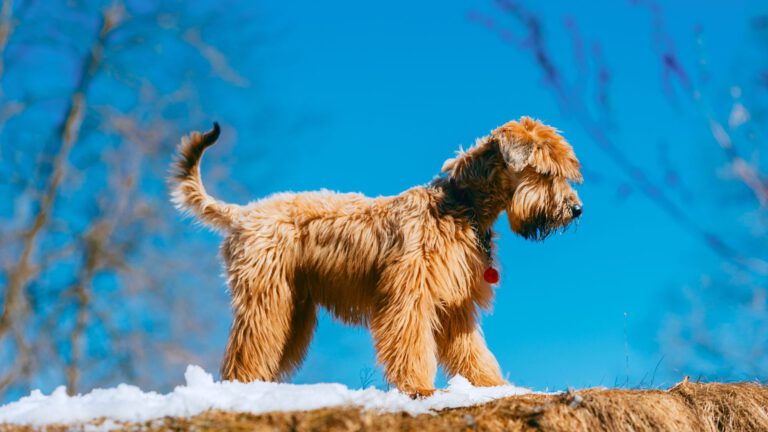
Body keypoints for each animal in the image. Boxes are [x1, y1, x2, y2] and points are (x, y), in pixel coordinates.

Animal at [170, 116, 584, 396]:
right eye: (546, 172)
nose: (577, 209)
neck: (461, 205)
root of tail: (241, 214)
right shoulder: (410, 294)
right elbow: (412, 343)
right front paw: (419, 388)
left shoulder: (456, 305)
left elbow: (472, 351)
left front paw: (492, 385)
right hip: (266, 299)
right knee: (248, 348)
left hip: (294, 307)